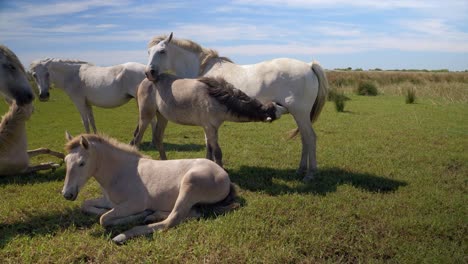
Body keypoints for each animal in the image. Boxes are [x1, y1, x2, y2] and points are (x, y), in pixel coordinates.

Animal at [62, 133, 238, 244]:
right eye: (65, 161)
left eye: (82, 163)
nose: (67, 194)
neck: (121, 171)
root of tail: (224, 175)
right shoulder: (110, 202)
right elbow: (86, 205)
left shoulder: (135, 203)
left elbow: (103, 219)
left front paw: (135, 216)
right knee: (193, 213)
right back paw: (153, 215)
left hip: (190, 183)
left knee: (173, 220)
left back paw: (123, 235)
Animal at [130, 73, 288, 166]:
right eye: (274, 110)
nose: (285, 107)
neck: (217, 97)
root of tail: (143, 82)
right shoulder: (209, 127)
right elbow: (217, 152)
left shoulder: (212, 128)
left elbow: (210, 149)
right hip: (146, 116)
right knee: (137, 139)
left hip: (162, 117)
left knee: (158, 138)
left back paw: (165, 162)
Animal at [146, 33, 330, 182]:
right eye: (148, 52)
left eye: (162, 51)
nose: (149, 73)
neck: (204, 69)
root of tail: (308, 65)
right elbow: (209, 143)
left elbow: (209, 143)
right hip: (299, 116)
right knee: (305, 139)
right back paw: (300, 170)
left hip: (300, 114)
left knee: (310, 138)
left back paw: (310, 174)